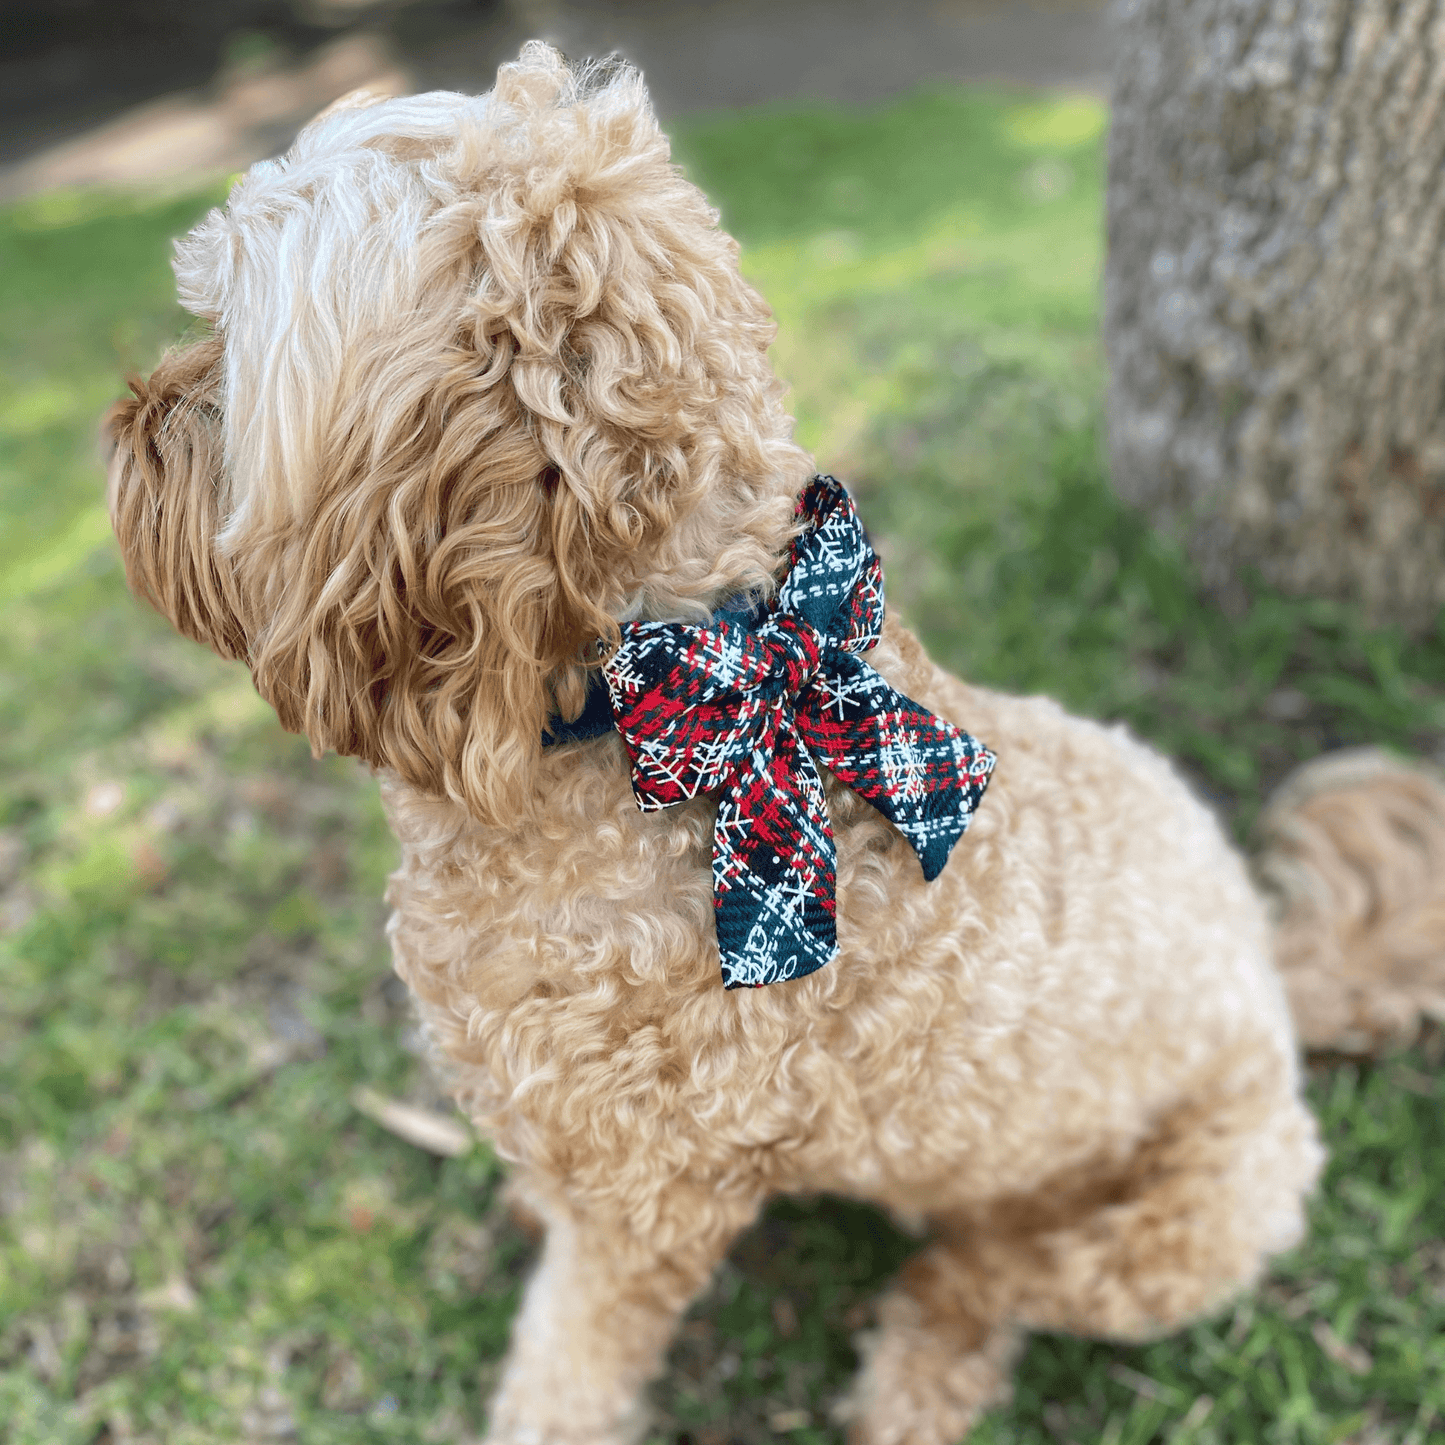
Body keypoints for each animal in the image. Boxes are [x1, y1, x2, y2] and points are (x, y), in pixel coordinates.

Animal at [106, 45, 1445, 1445]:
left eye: (231, 345)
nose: (126, 417)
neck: (634, 693)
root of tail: (1272, 973)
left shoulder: (650, 1203)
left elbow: (570, 1359)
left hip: (1187, 1219)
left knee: (985, 1276)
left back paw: (916, 1373)